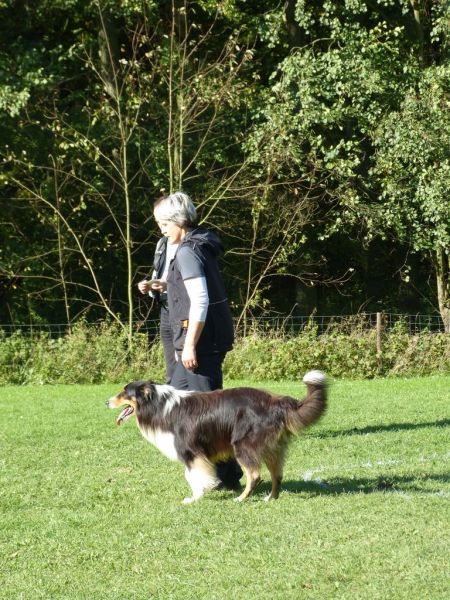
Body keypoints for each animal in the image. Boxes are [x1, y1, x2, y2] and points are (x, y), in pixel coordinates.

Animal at [106, 370, 327, 503]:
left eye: (124, 392)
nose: (106, 402)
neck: (159, 405)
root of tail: (277, 403)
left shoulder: (191, 452)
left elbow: (191, 476)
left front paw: (195, 498)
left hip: (243, 444)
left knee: (255, 475)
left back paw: (241, 499)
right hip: (272, 447)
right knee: (277, 474)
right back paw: (270, 498)